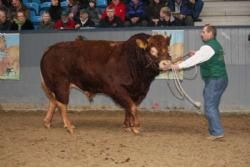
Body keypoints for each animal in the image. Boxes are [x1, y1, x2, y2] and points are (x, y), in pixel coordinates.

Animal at [40, 33, 172, 134]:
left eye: (167, 49)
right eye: (152, 50)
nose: (166, 63)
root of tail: (50, 49)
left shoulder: (139, 91)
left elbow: (129, 107)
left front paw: (128, 125)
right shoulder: (117, 89)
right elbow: (132, 107)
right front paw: (136, 126)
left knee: (53, 102)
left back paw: (47, 122)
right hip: (61, 84)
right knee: (62, 104)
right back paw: (69, 126)